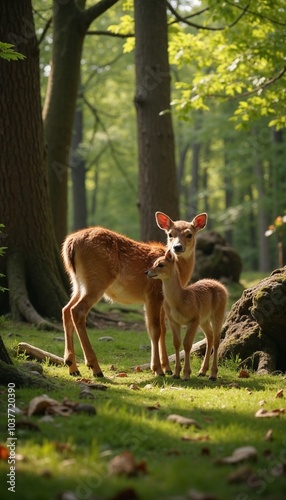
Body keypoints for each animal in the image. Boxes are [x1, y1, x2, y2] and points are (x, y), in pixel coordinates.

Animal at [61, 213, 207, 376]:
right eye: (170, 234)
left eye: (189, 234)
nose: (177, 247)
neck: (178, 272)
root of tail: (71, 243)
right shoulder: (153, 294)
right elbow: (154, 330)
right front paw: (157, 369)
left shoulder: (162, 300)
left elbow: (162, 330)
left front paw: (166, 368)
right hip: (97, 278)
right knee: (77, 310)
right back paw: (94, 367)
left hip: (77, 281)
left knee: (66, 309)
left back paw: (72, 366)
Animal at [146, 250, 227, 378]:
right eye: (154, 263)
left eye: (161, 265)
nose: (147, 272)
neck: (180, 300)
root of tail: (222, 286)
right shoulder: (173, 320)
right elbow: (176, 343)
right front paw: (176, 373)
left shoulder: (193, 319)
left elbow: (187, 344)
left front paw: (186, 374)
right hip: (203, 319)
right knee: (209, 336)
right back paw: (202, 371)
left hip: (218, 313)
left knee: (216, 339)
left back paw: (213, 375)